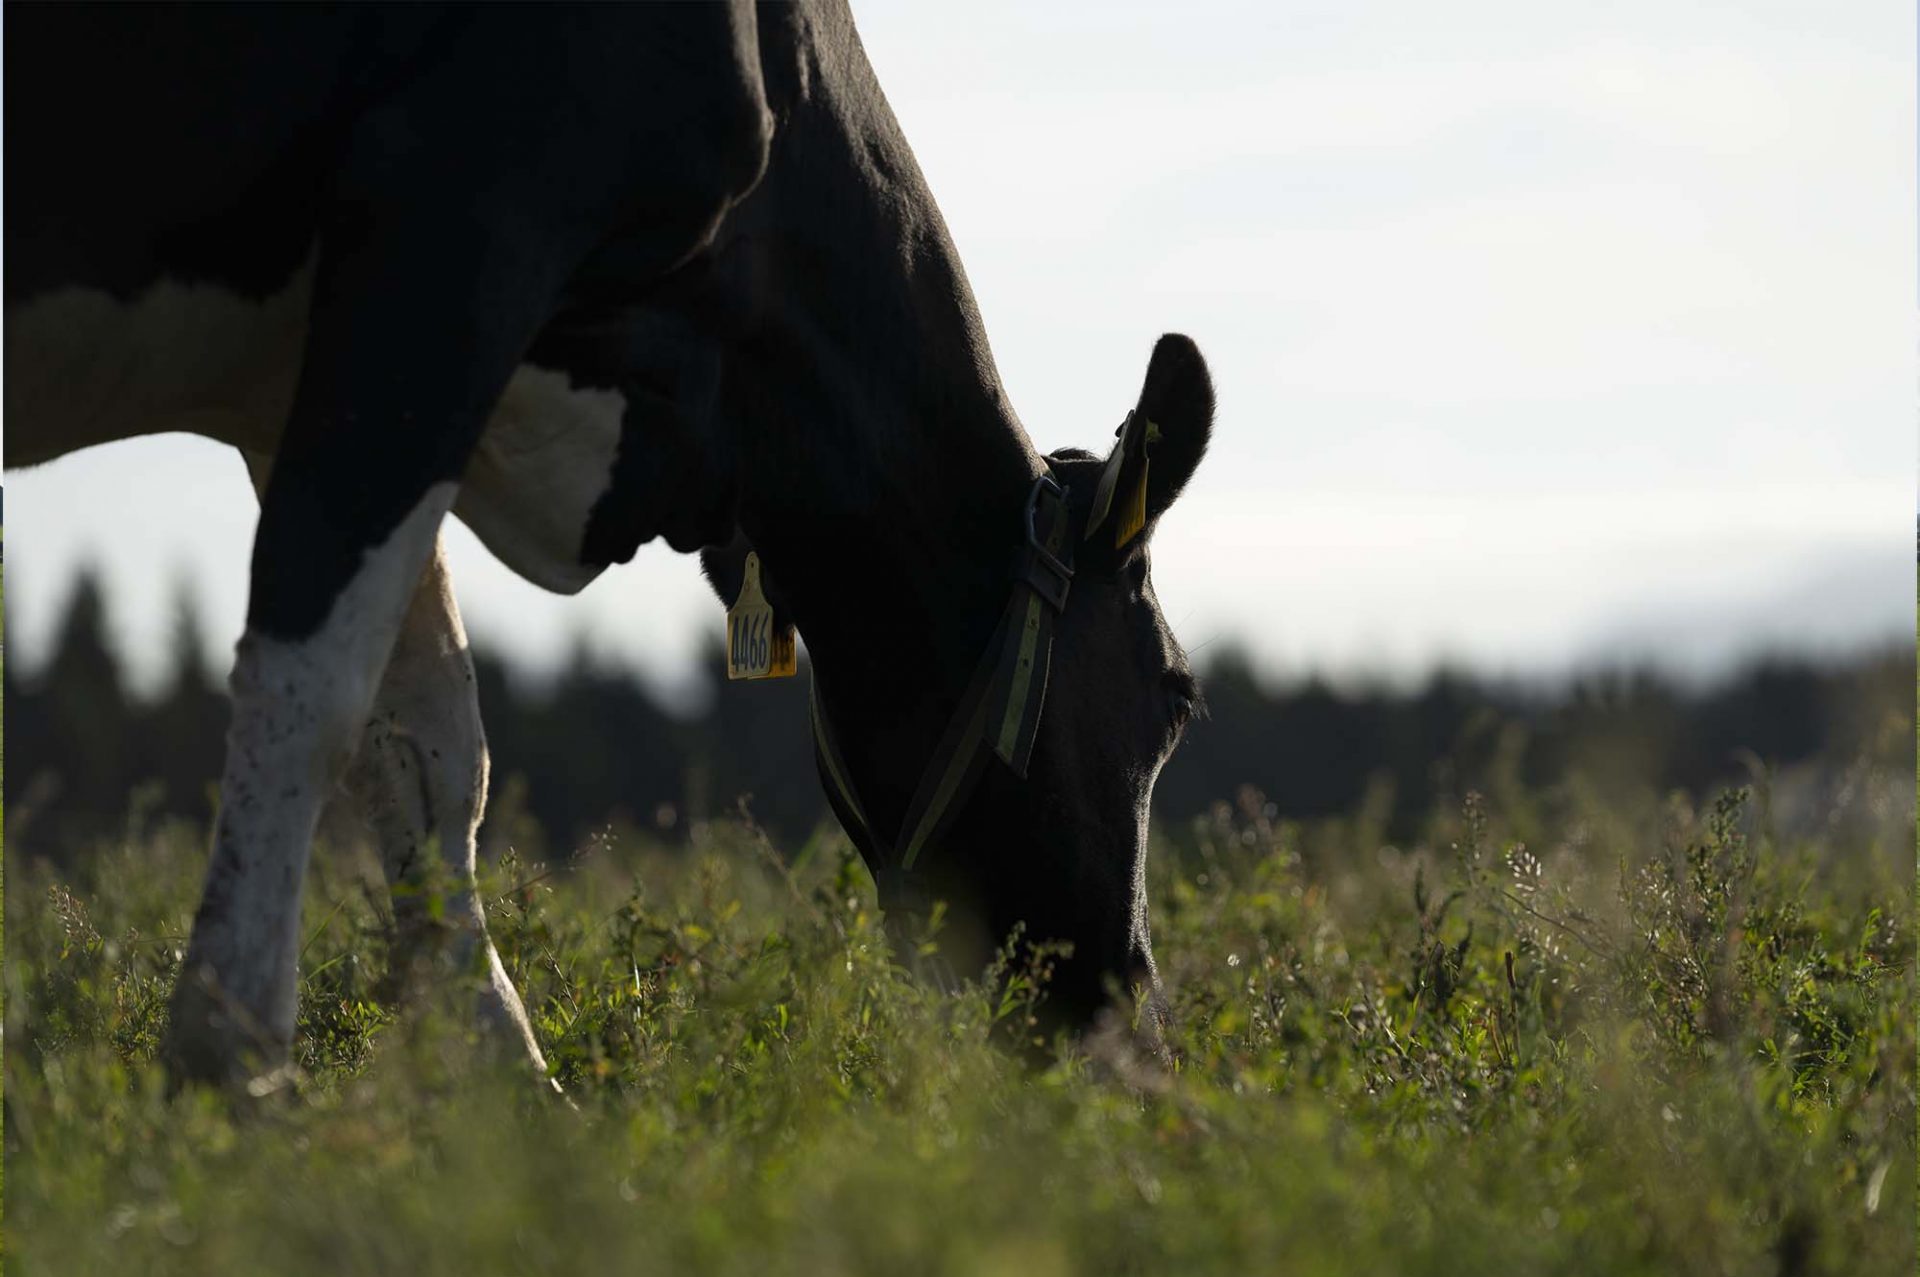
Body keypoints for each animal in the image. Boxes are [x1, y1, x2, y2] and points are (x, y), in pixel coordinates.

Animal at [7, 2, 1213, 1083]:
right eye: (1176, 697)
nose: (1139, 1033)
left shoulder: (297, 384)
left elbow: (431, 745)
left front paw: (511, 1093)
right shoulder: (452, 248)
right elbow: (312, 697)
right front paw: (225, 1068)